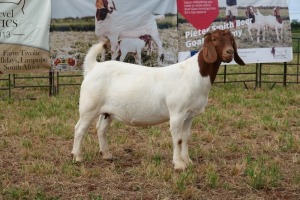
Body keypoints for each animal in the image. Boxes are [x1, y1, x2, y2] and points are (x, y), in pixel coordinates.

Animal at [71, 29, 245, 170]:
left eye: (232, 39)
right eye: (214, 39)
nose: (229, 52)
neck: (194, 74)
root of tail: (94, 67)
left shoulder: (189, 115)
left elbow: (186, 138)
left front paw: (188, 161)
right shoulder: (177, 113)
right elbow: (178, 139)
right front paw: (179, 164)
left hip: (107, 111)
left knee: (101, 128)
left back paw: (107, 155)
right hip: (89, 107)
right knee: (79, 128)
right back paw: (77, 157)